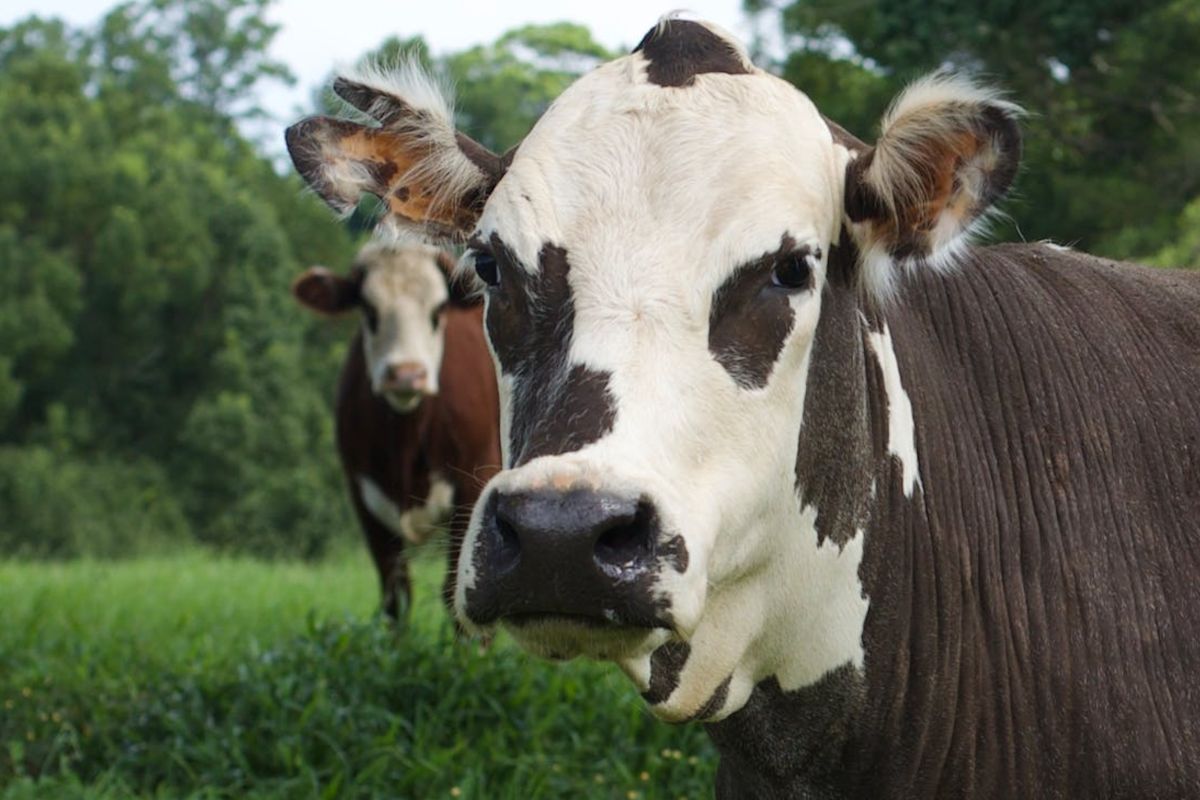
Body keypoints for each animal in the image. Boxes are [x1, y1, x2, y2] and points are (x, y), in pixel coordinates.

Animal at [295, 241, 501, 623]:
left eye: (438, 310)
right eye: (369, 310)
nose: (406, 374)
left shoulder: (474, 483)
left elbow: (457, 594)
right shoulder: (363, 495)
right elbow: (396, 595)